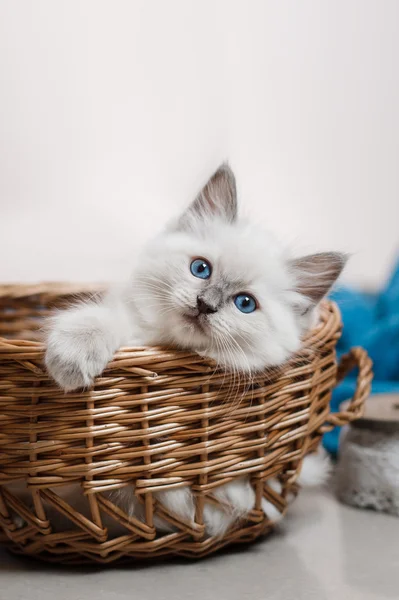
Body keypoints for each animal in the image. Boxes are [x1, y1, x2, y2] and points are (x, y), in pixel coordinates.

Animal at [43, 165, 346, 540]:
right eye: (201, 269)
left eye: (245, 303)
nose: (205, 304)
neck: (168, 346)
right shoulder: (127, 323)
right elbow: (102, 322)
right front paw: (70, 360)